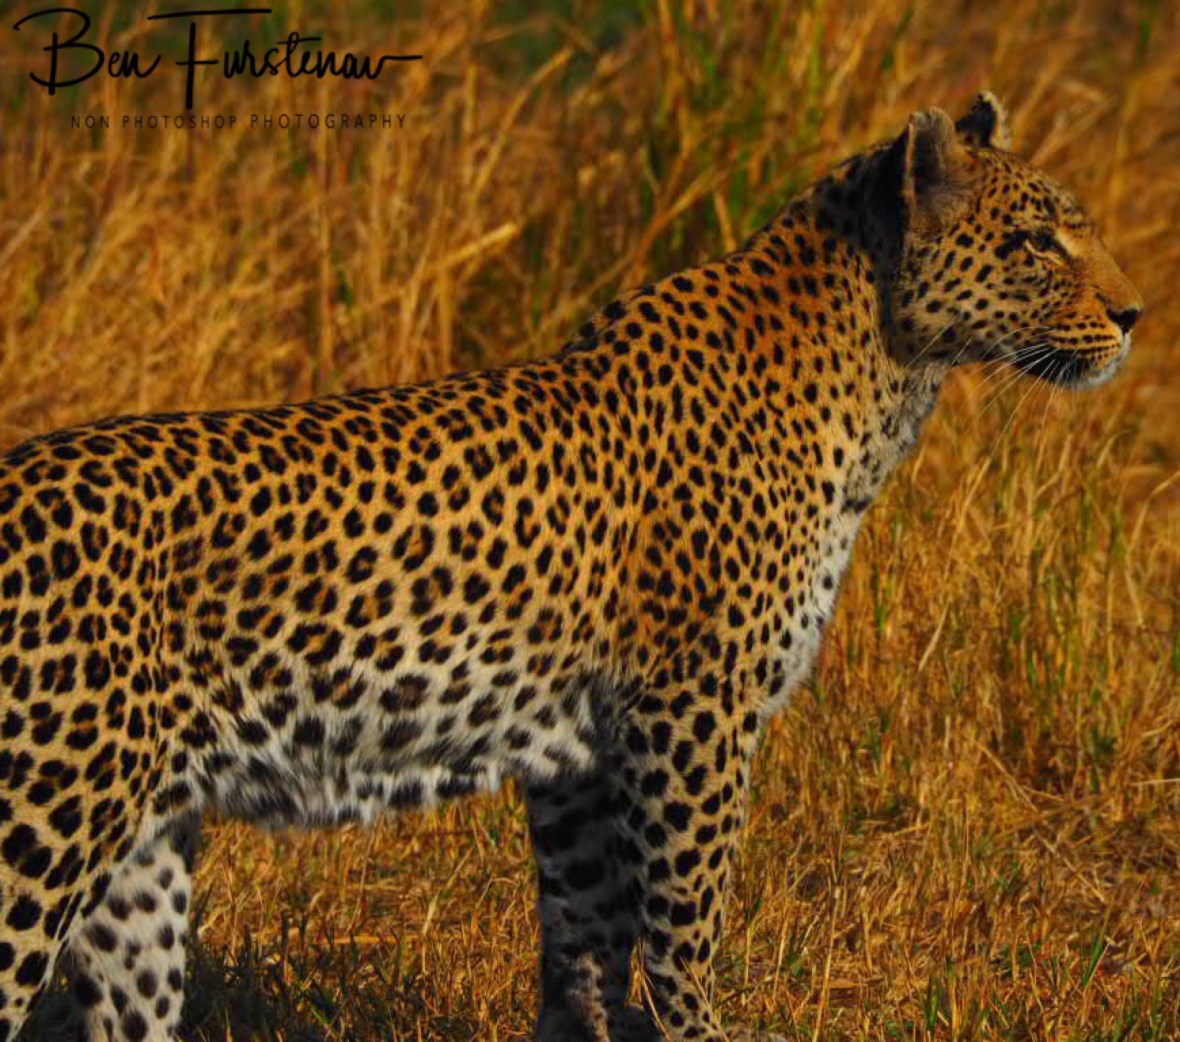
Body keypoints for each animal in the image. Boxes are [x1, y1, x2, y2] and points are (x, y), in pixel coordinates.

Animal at [0, 92, 1142, 1042]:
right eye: (1036, 242)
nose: (1132, 317)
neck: (883, 377)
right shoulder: (690, 711)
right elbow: (685, 923)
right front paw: (700, 1033)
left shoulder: (577, 757)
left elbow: (587, 938)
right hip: (37, 826)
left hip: (138, 865)